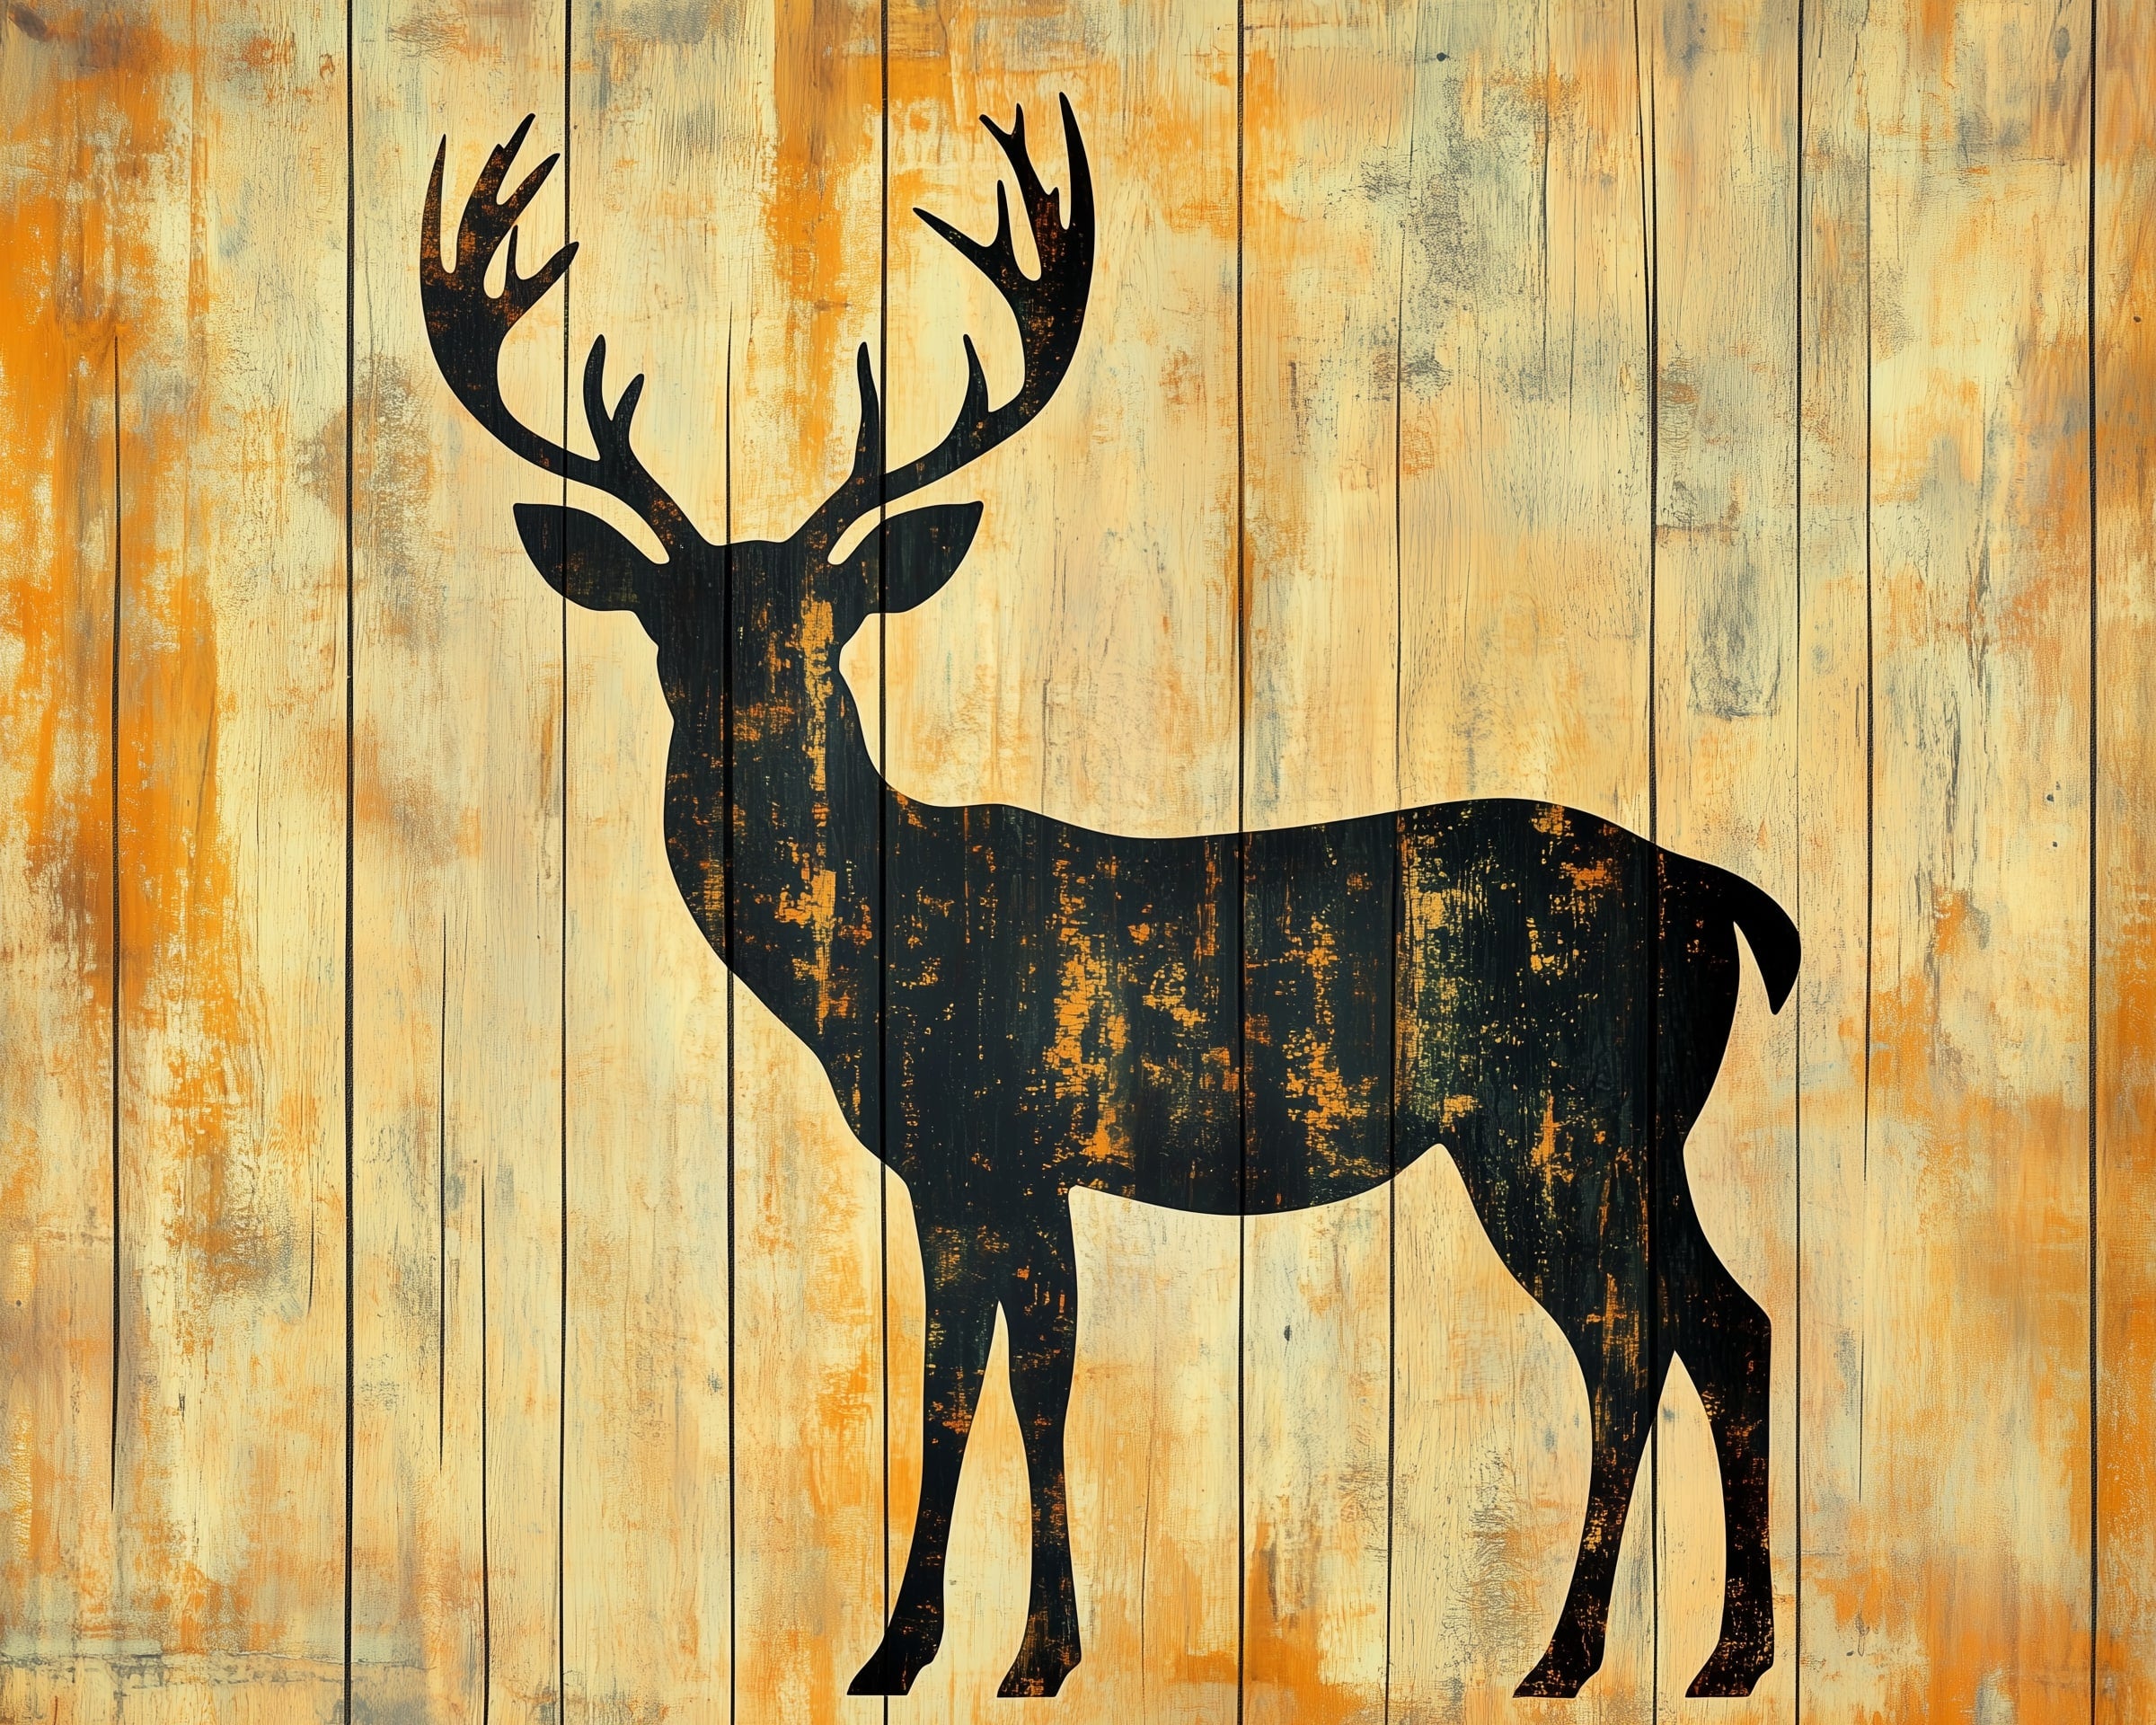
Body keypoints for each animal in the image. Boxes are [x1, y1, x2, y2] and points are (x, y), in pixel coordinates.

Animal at [421, 98, 1796, 1702]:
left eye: (825, 622)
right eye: (665, 620)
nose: (748, 723)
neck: (885, 950)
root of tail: (1720, 895)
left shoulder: (1011, 1147)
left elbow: (1022, 1385)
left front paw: (1011, 1653)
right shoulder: (957, 1174)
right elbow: (968, 1385)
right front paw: (926, 1649)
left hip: (1560, 1119)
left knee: (1651, 1335)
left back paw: (1588, 1654)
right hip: (1620, 1128)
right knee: (1714, 1324)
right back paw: (1702, 1656)